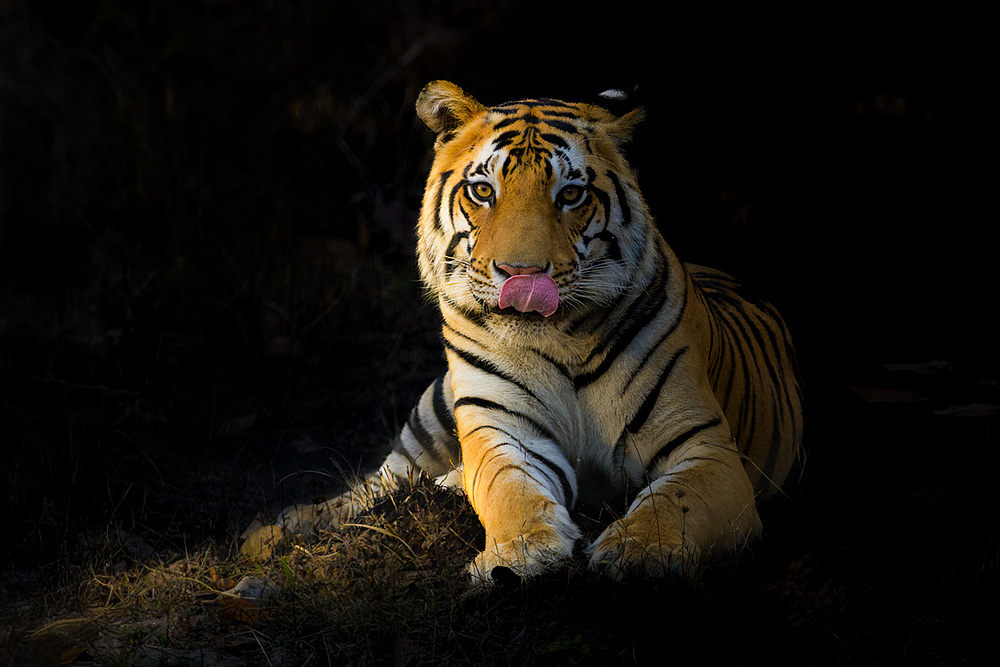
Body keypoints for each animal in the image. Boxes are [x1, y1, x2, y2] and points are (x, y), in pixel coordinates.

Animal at [275, 81, 803, 586]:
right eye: (482, 191)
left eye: (570, 195)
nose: (522, 275)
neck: (563, 340)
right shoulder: (502, 429)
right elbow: (507, 489)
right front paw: (522, 553)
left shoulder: (704, 446)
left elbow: (674, 504)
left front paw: (640, 553)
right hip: (432, 410)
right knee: (377, 482)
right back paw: (279, 530)